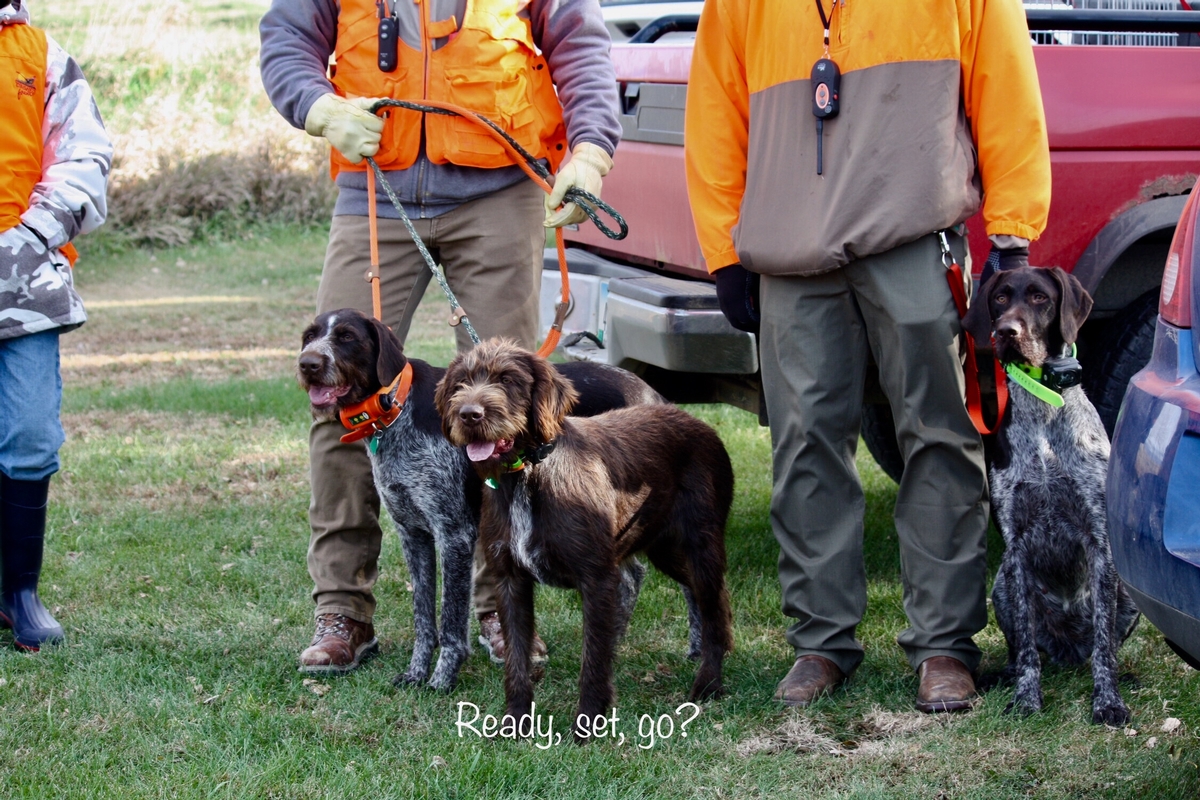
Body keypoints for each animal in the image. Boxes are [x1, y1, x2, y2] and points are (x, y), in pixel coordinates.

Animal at [296, 309, 662, 690]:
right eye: (309, 336)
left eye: (347, 337)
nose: (307, 364)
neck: (396, 409)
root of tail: (651, 393)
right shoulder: (413, 534)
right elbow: (423, 616)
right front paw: (416, 672)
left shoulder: (454, 534)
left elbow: (451, 620)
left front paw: (442, 679)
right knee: (630, 575)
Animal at [432, 340, 729, 743]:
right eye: (461, 382)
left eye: (508, 380)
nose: (469, 415)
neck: (528, 472)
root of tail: (699, 423)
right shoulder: (510, 579)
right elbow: (517, 660)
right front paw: (515, 722)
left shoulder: (597, 578)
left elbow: (593, 659)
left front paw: (588, 724)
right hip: (664, 547)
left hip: (701, 545)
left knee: (714, 606)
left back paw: (709, 683)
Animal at [964, 267, 1132, 724]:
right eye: (1001, 298)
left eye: (1040, 297)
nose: (1006, 331)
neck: (1042, 408)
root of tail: (1067, 649)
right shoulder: (1017, 549)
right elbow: (1025, 650)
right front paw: (1026, 698)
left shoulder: (1099, 540)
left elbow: (1105, 648)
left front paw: (1108, 702)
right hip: (1002, 587)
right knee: (1023, 648)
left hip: (1126, 595)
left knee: (1103, 644)